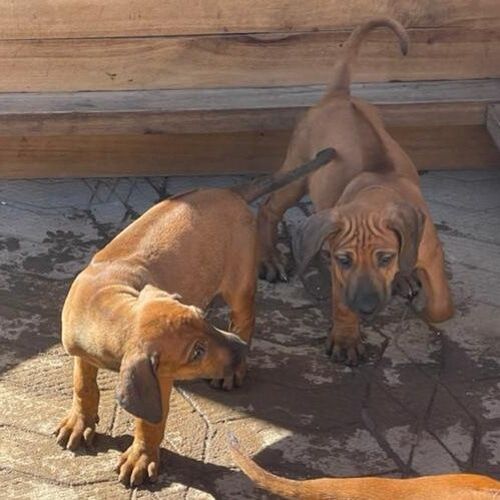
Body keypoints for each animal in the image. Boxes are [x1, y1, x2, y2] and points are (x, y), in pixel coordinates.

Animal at [55, 148, 336, 484]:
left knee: (245, 318)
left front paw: (141, 457)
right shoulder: (81, 354)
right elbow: (83, 387)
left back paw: (232, 371)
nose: (240, 349)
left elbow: (149, 421)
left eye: (203, 317)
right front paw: (79, 422)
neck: (107, 303)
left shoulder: (159, 378)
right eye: (196, 352)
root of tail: (228, 192)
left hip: (240, 284)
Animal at [258, 19, 454, 366]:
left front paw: (422, 301)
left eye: (385, 257)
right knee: (269, 206)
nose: (366, 307)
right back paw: (270, 259)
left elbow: (441, 307)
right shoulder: (340, 273)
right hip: (298, 169)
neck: (378, 189)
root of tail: (339, 96)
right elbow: (341, 303)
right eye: (345, 260)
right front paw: (347, 339)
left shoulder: (430, 251)